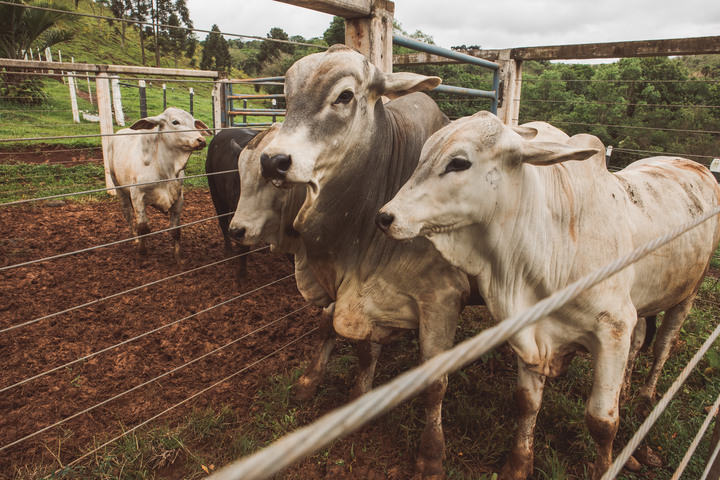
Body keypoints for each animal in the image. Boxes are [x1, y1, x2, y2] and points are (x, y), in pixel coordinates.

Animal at [376, 110, 720, 480]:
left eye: (458, 163)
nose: (386, 217)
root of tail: (696, 166)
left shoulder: (613, 329)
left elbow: (602, 422)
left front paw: (605, 466)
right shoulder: (531, 332)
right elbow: (527, 403)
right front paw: (518, 465)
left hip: (688, 292)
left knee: (663, 346)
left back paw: (644, 399)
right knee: (641, 338)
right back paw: (627, 390)